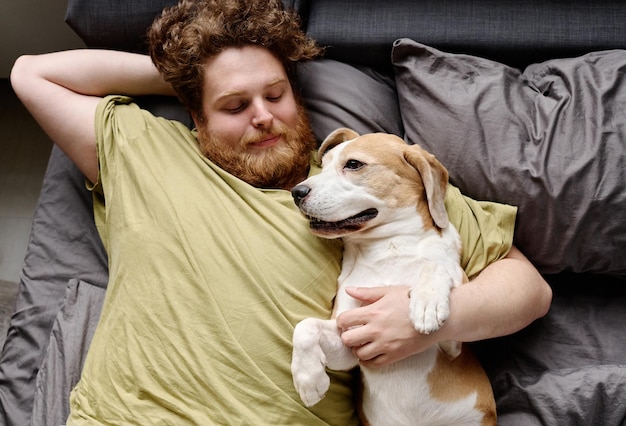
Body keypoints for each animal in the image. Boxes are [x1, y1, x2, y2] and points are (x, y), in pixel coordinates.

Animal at [290, 129, 494, 426]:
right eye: (323, 165)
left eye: (353, 164)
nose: (297, 192)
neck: (388, 249)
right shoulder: (349, 343)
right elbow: (305, 327)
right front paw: (307, 378)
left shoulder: (454, 344)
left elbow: (436, 265)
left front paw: (427, 301)